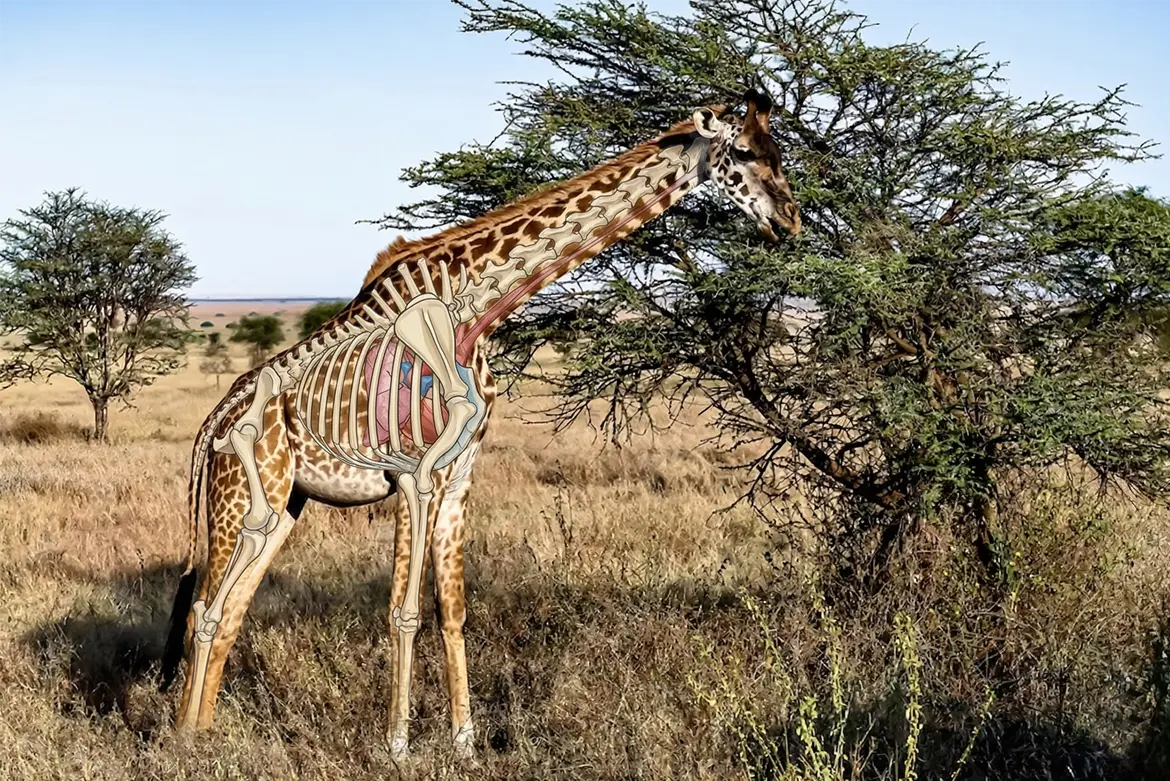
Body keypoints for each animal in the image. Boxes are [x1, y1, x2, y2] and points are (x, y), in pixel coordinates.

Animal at [158, 88, 801, 760]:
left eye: (780, 149)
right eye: (746, 151)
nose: (791, 221)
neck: (481, 305)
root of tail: (210, 425)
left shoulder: (462, 472)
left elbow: (454, 608)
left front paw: (464, 740)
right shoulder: (413, 474)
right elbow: (404, 610)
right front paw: (398, 744)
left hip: (287, 502)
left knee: (231, 610)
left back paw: (205, 733)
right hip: (239, 494)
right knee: (204, 607)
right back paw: (183, 737)